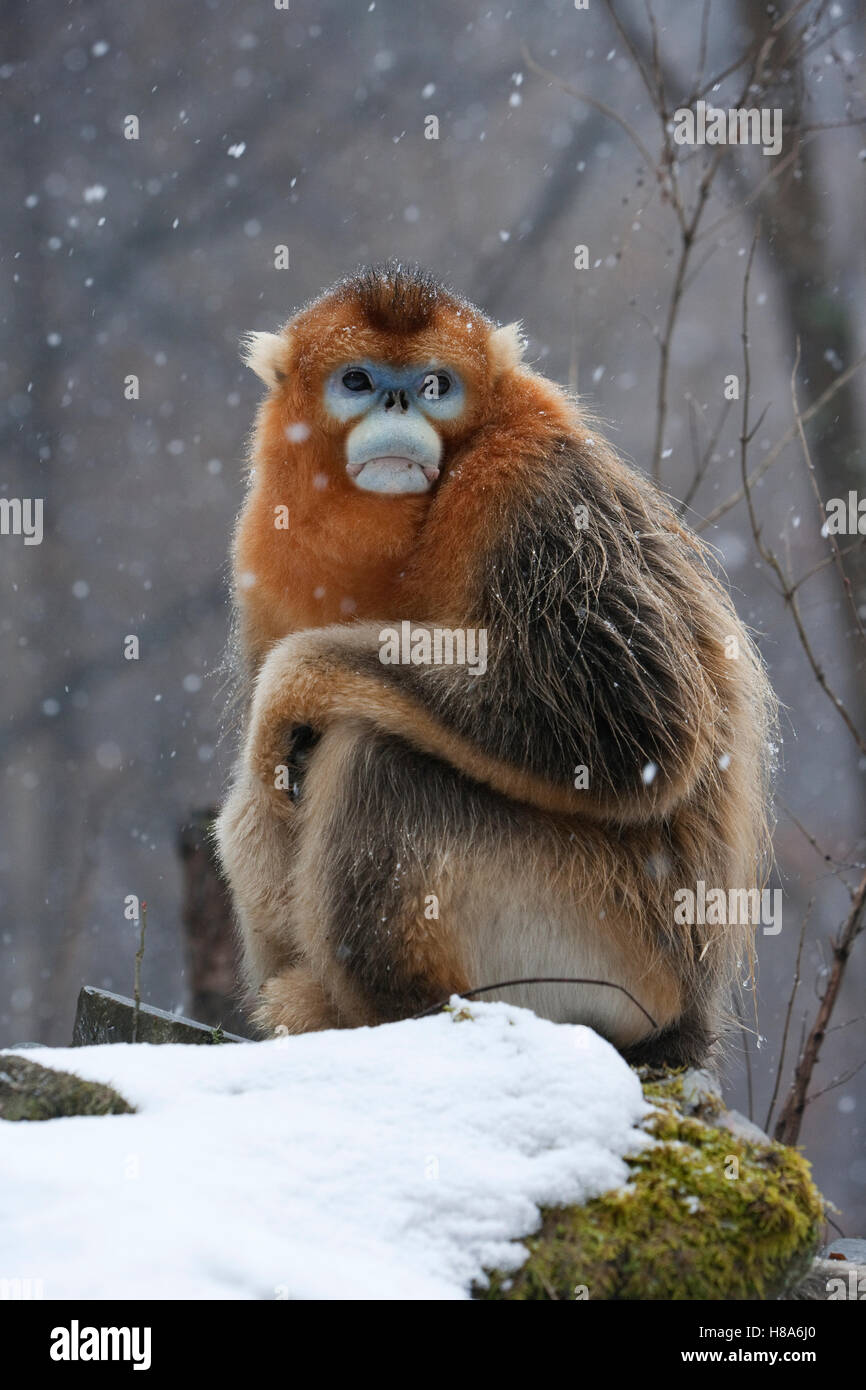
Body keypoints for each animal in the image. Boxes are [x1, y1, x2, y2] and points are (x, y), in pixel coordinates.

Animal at [215, 262, 776, 1069]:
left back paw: (384, 1016)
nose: (397, 401)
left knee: (374, 759)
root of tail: (689, 1022)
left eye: (434, 384)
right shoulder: (263, 548)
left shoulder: (532, 486)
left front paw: (295, 676)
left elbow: (636, 728)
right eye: (358, 380)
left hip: (607, 948)